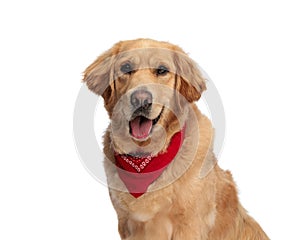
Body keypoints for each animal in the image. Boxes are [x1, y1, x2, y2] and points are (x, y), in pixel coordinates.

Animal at [82, 38, 270, 239]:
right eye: (125, 67)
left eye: (162, 70)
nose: (140, 99)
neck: (147, 156)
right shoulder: (127, 223)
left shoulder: (190, 225)